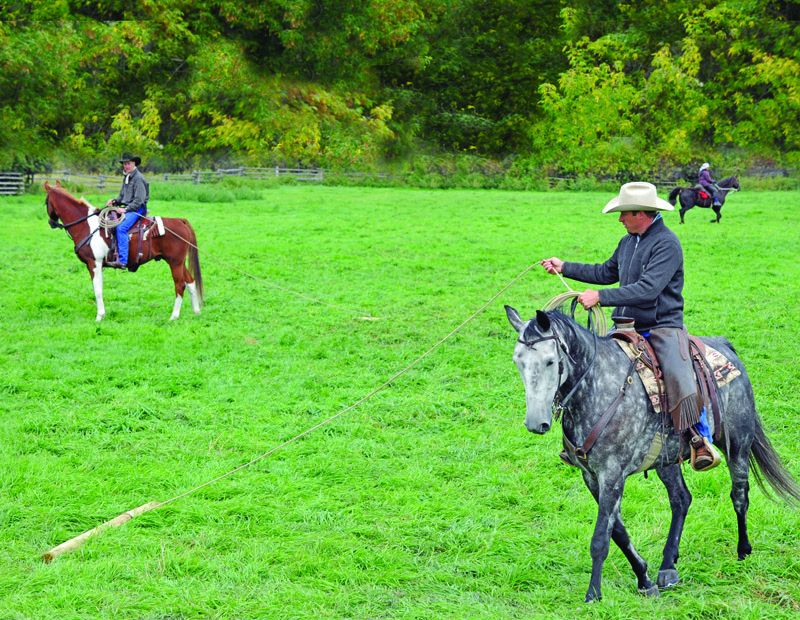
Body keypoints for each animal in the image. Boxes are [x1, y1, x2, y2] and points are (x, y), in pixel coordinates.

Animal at [45, 181, 204, 321]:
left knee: (180, 285)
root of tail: (180, 220)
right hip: (179, 262)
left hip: (175, 262)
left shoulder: (94, 263)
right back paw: (196, 312)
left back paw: (174, 316)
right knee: (190, 282)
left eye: (45, 203)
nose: (51, 223)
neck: (87, 226)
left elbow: (98, 289)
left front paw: (99, 316)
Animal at [505, 306, 800, 603]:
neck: (600, 388)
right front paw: (644, 579)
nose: (535, 423)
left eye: (550, 361)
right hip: (667, 459)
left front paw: (593, 594)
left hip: (738, 444)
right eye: (518, 361)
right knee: (681, 499)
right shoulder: (592, 476)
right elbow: (618, 532)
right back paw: (668, 566)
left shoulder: (612, 474)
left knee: (739, 495)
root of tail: (724, 347)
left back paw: (743, 550)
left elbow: (601, 538)